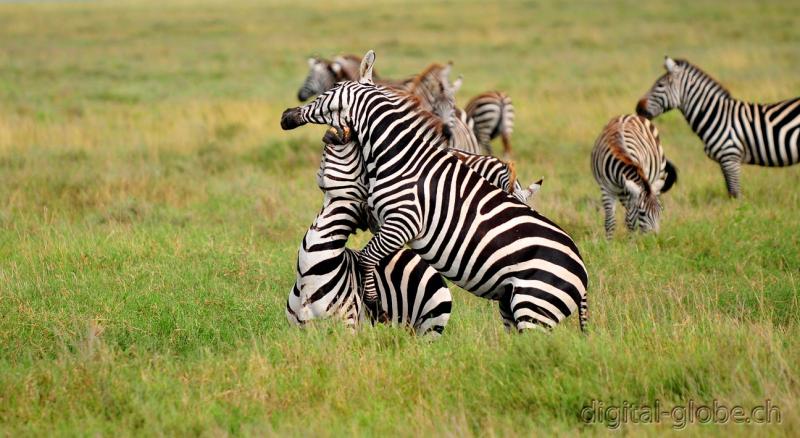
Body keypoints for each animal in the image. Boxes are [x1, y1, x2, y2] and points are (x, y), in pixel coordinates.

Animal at [286, 128, 450, 338]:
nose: (348, 132)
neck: (308, 277)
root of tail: (417, 257)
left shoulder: (348, 325)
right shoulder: (296, 330)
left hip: (431, 323)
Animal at [636, 56, 800, 197]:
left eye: (660, 85)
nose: (638, 108)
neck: (716, 115)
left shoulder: (730, 158)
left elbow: (734, 195)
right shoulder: (725, 161)